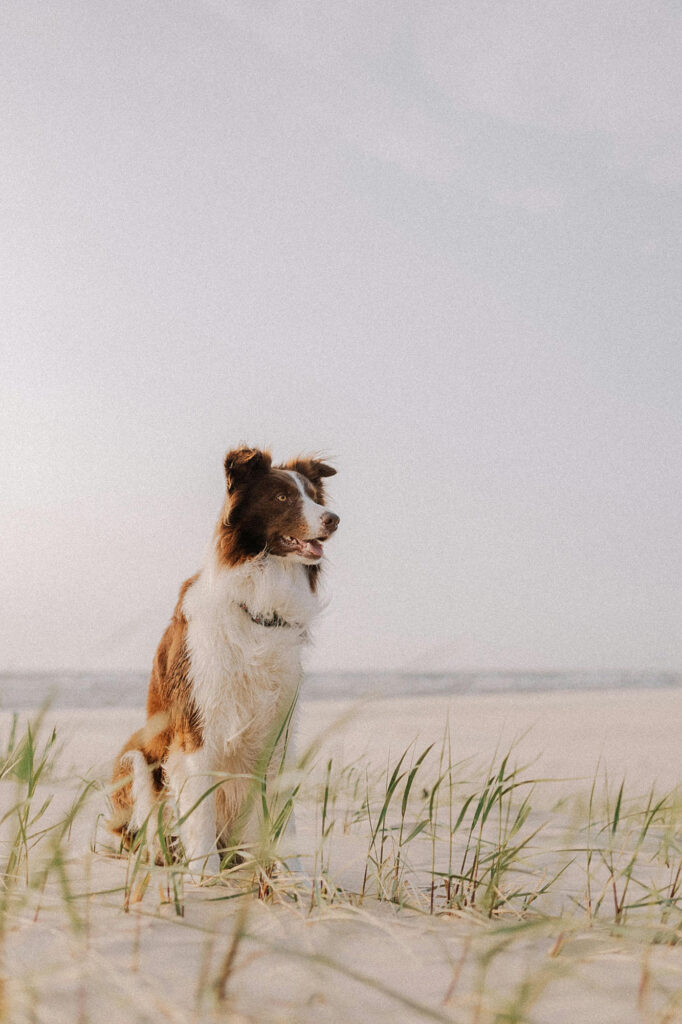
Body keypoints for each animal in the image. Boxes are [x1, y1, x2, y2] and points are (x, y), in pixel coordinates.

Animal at [109, 448, 339, 880]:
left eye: (314, 496)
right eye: (282, 497)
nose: (334, 519)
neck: (259, 604)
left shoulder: (279, 728)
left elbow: (283, 809)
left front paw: (293, 873)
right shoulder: (197, 724)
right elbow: (199, 809)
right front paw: (204, 873)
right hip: (137, 757)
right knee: (144, 830)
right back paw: (165, 857)